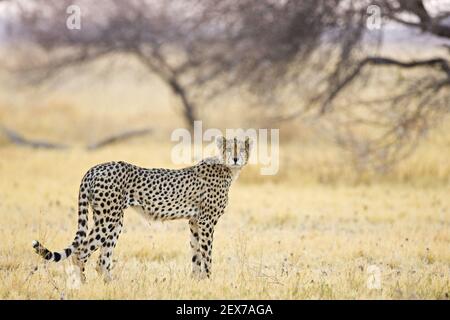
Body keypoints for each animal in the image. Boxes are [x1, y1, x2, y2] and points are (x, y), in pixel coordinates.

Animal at [31, 136, 251, 282]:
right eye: (229, 149)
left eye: (241, 149)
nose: (235, 158)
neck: (227, 169)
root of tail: (95, 167)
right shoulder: (206, 222)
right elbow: (207, 253)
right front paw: (208, 280)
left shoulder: (195, 221)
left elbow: (196, 253)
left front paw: (196, 281)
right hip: (108, 219)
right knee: (81, 253)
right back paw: (83, 285)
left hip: (115, 221)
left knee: (102, 260)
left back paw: (111, 286)